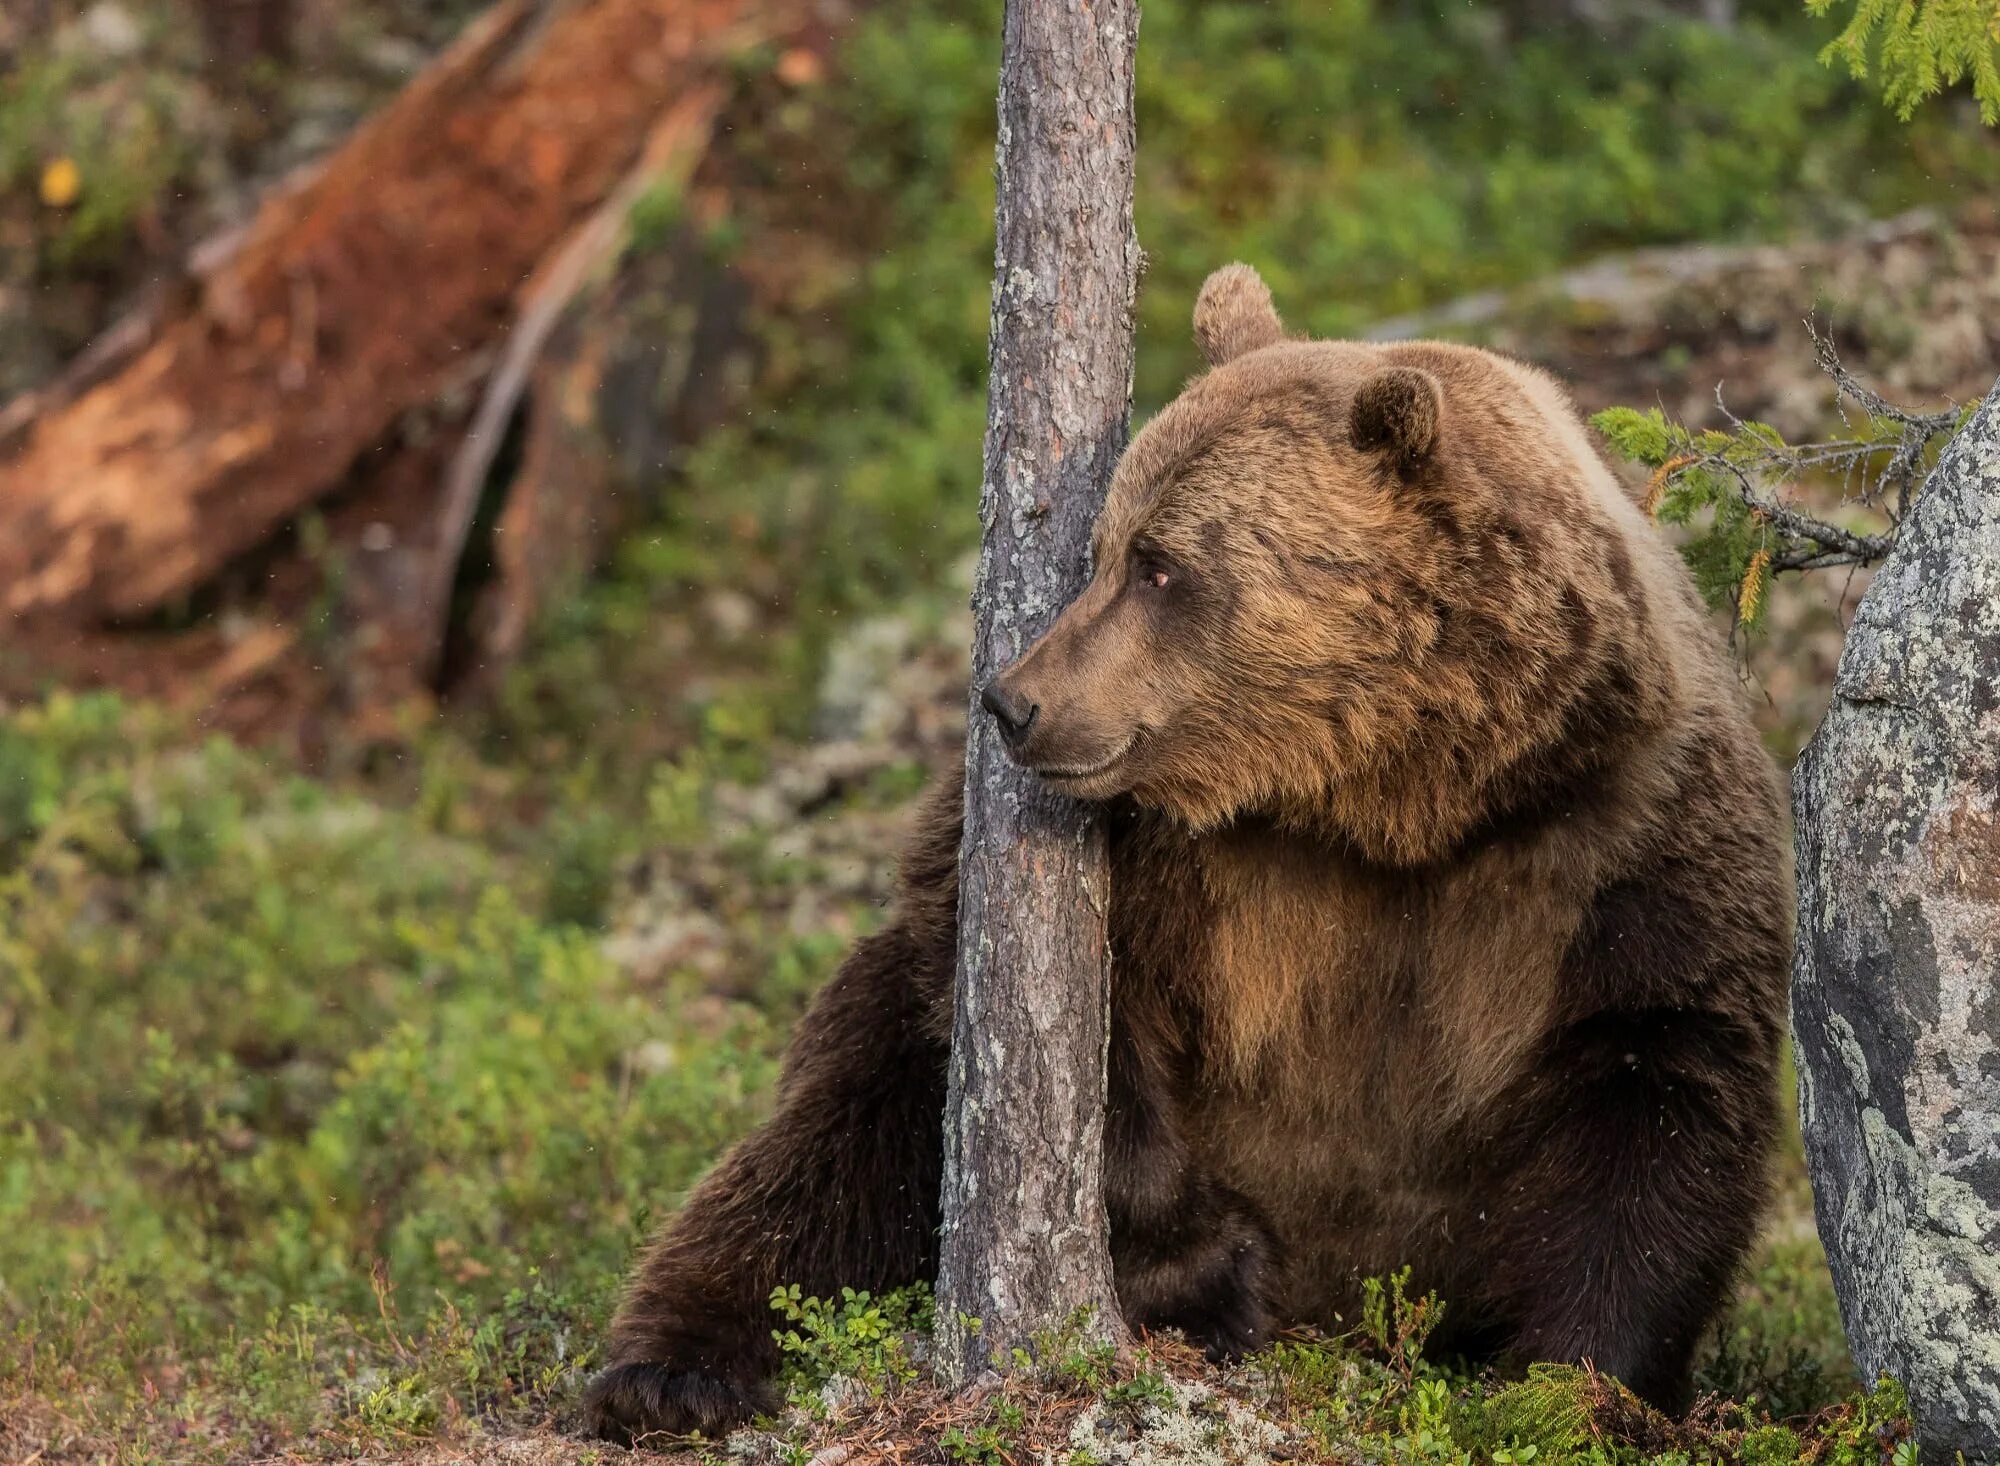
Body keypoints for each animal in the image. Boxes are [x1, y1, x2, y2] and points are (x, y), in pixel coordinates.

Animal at [584, 264, 1792, 1440]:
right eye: (1102, 548)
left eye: (1159, 565)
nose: (1013, 702)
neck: (1385, 799)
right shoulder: (1171, 853)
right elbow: (1072, 1014)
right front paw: (1209, 1273)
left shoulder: (1621, 839)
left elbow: (1661, 1083)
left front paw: (1577, 1389)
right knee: (840, 1134)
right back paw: (671, 1372)